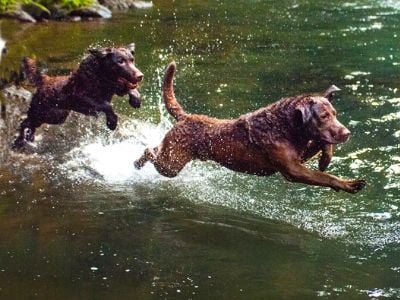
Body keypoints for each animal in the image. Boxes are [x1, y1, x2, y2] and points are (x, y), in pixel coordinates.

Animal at [12, 43, 144, 149]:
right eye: (120, 61)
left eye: (132, 60)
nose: (140, 75)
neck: (101, 76)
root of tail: (44, 79)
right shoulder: (82, 98)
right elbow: (106, 105)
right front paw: (112, 122)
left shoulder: (117, 88)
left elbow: (132, 90)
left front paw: (135, 100)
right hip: (42, 113)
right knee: (25, 123)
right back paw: (19, 141)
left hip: (57, 116)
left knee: (30, 124)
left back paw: (29, 138)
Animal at [136, 61, 368, 193]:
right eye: (323, 116)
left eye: (335, 114)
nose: (347, 133)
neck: (284, 126)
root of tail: (186, 116)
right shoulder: (293, 170)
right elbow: (326, 177)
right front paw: (349, 184)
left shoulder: (299, 156)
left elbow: (321, 143)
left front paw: (325, 159)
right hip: (171, 164)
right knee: (150, 151)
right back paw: (138, 161)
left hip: (172, 159)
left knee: (155, 149)